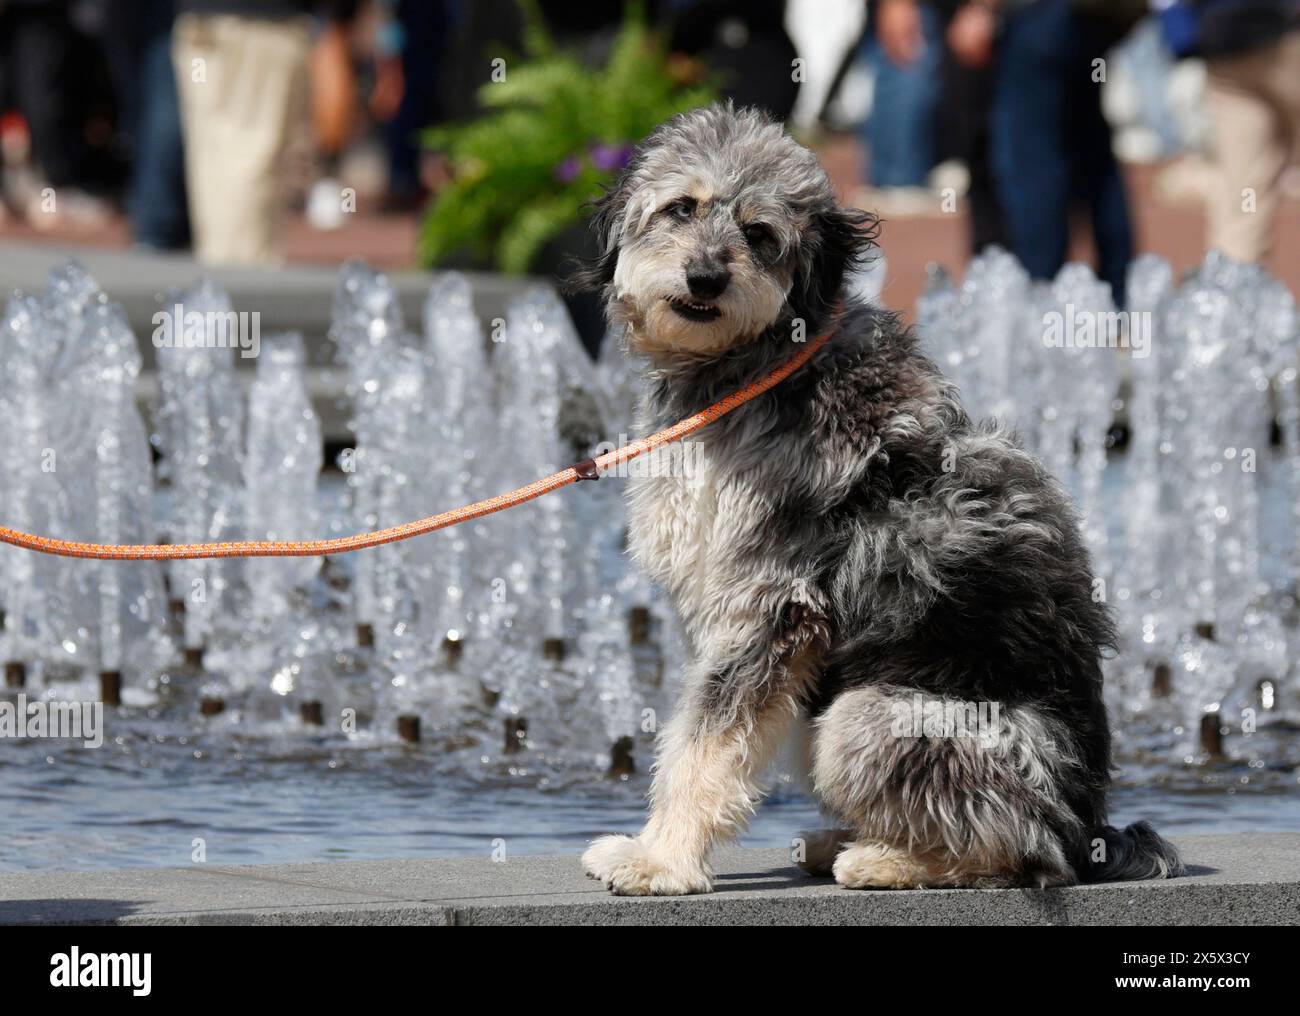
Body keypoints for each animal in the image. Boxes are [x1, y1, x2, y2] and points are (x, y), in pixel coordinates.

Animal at [569, 105, 1180, 899]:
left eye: (759, 234)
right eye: (682, 208)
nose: (705, 277)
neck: (759, 365)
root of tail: (1091, 829)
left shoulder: (770, 605)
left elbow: (704, 743)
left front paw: (661, 859)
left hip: (867, 716)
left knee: (1021, 852)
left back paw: (885, 859)